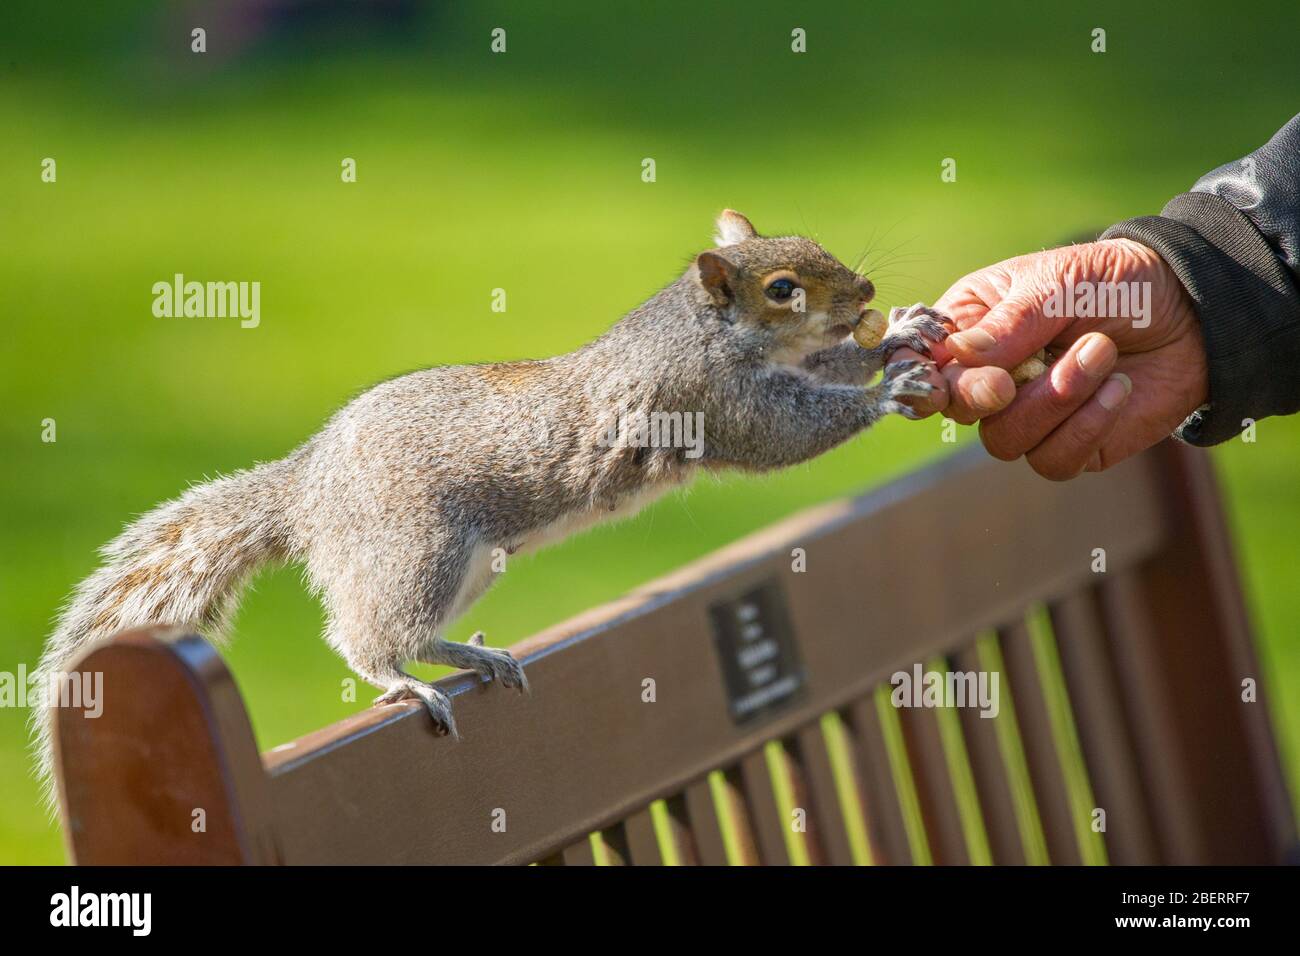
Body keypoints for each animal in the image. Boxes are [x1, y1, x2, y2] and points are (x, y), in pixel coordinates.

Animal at [30, 210, 946, 806]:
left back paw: (473, 656)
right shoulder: (713, 401)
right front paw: (887, 387)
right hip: (418, 551)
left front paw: (903, 328)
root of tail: (306, 492)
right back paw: (403, 683)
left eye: (821, 248)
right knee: (368, 636)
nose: (865, 288)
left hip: (466, 568)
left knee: (412, 630)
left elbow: (828, 373)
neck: (710, 332)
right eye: (784, 288)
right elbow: (787, 433)